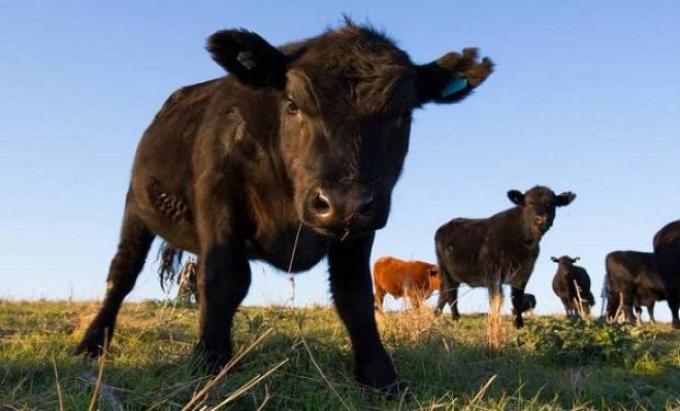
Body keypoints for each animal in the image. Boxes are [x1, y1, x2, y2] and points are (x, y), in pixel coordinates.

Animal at [72, 21, 493, 392]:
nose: (342, 202)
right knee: (122, 274)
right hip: (136, 208)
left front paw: (381, 378)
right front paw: (208, 365)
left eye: (403, 114)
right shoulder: (219, 197)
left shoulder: (361, 227)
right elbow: (223, 279)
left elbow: (354, 295)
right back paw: (92, 344)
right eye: (292, 103)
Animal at [434, 186, 576, 328]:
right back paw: (455, 318)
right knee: (451, 293)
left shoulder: (524, 272)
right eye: (529, 203)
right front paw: (495, 322)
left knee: (444, 293)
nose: (541, 219)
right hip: (446, 271)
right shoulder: (493, 273)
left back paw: (436, 315)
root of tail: (444, 227)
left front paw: (518, 324)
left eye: (551, 204)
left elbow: (517, 299)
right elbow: (496, 299)